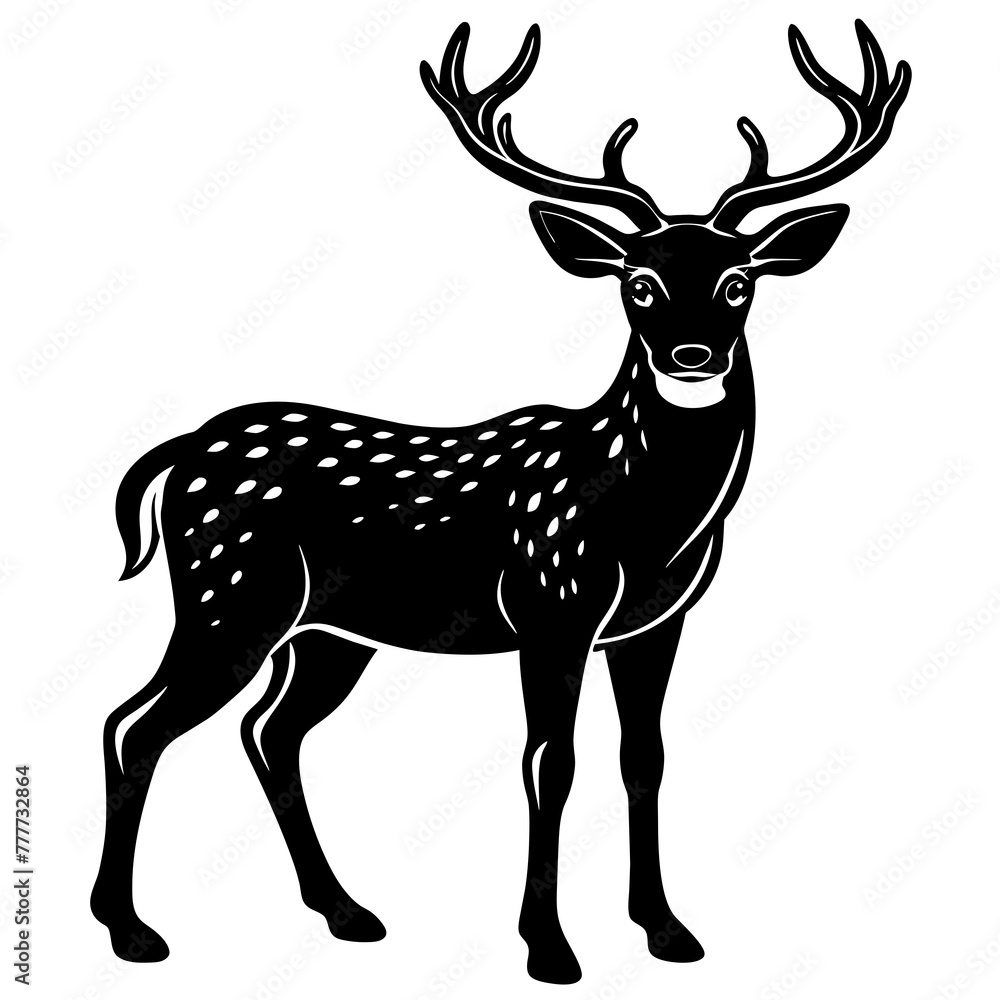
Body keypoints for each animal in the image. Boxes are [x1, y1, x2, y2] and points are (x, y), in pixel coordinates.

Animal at [90, 20, 910, 984]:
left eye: (740, 280)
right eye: (636, 282)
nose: (693, 354)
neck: (651, 523)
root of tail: (177, 454)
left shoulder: (658, 621)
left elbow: (644, 757)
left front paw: (667, 931)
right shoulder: (551, 605)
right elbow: (550, 762)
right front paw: (549, 948)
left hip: (327, 631)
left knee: (269, 730)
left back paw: (345, 912)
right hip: (230, 596)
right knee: (135, 723)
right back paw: (130, 930)